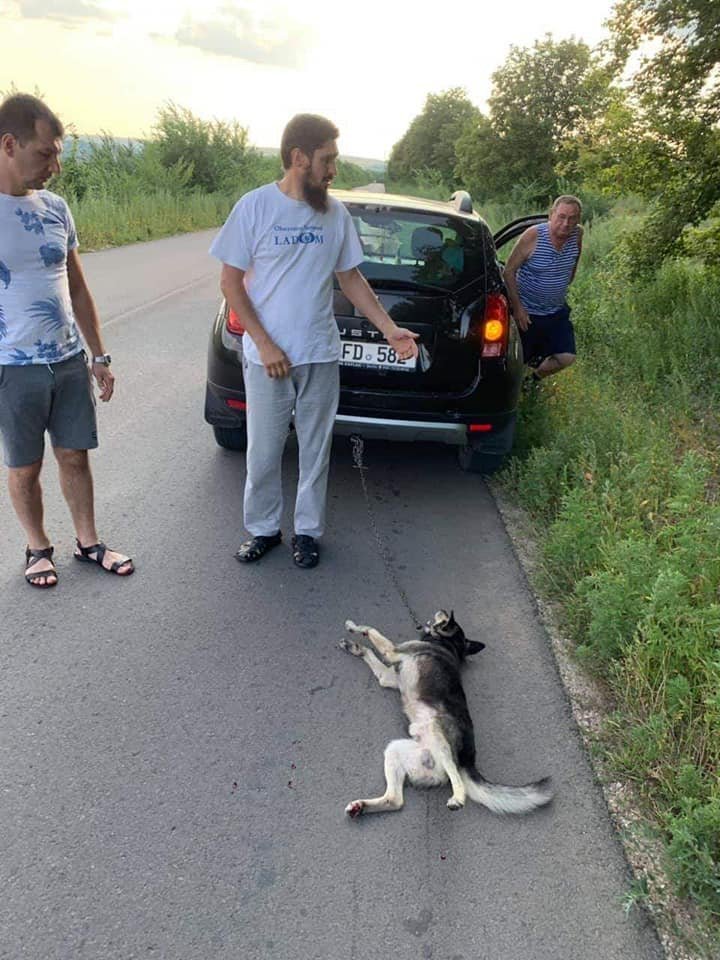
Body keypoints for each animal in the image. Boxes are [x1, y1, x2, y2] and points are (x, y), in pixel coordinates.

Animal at [340, 608, 556, 816]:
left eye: (447, 618)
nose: (442, 610)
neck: (447, 643)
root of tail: (468, 761)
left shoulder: (392, 650)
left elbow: (371, 629)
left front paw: (353, 626)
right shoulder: (388, 677)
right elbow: (369, 650)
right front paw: (355, 647)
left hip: (438, 731)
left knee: (455, 777)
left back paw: (458, 800)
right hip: (395, 750)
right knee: (396, 801)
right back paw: (361, 807)